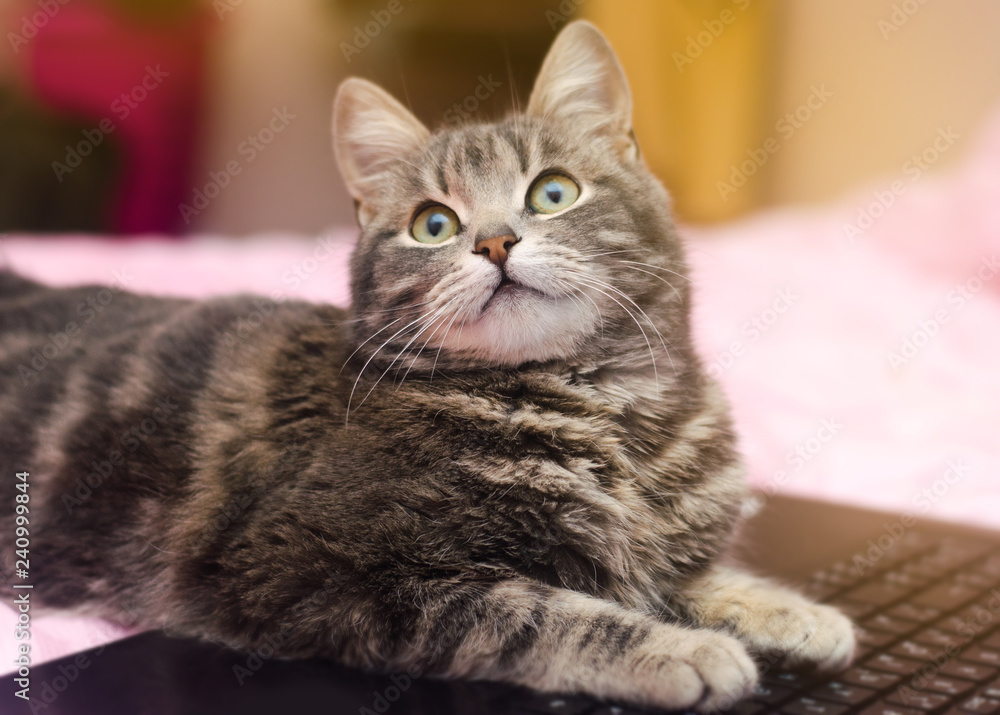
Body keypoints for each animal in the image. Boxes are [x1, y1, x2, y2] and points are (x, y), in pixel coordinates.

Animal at [1, 19, 852, 712]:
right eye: (433, 225)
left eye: (552, 192)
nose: (496, 241)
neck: (600, 401)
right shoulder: (310, 568)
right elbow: (532, 611)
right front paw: (680, 647)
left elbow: (693, 572)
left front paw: (790, 608)